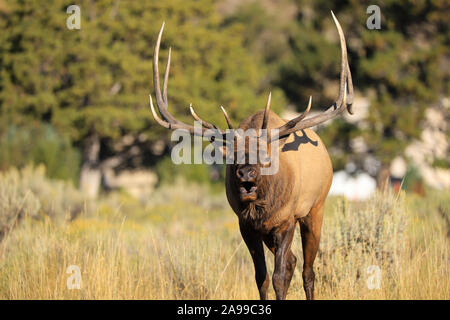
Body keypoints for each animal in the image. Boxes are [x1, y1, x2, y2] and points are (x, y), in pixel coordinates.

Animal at [149, 10, 354, 300]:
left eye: (264, 156)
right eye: (232, 157)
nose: (246, 172)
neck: (263, 207)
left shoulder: (287, 220)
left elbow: (279, 277)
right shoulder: (246, 226)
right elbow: (262, 277)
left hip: (316, 208)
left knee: (308, 270)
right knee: (293, 262)